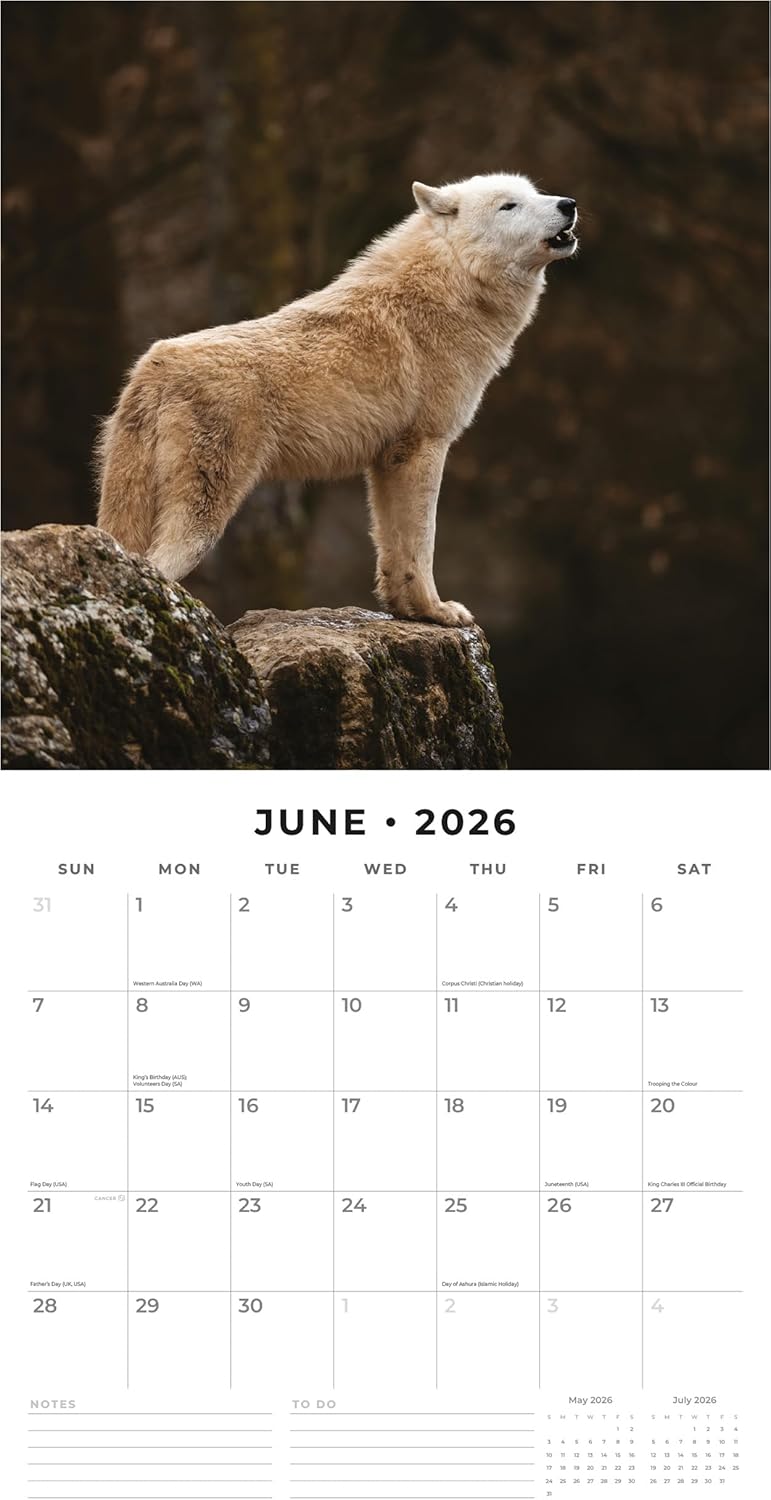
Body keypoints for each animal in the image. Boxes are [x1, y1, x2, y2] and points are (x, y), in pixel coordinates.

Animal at [96, 174, 578, 626]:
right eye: (508, 205)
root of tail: (153, 367)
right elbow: (423, 543)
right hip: (204, 519)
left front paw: (409, 613)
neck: (453, 284)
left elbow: (393, 551)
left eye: (536, 193)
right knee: (158, 567)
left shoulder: (387, 461)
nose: (569, 203)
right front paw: (437, 611)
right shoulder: (426, 447)